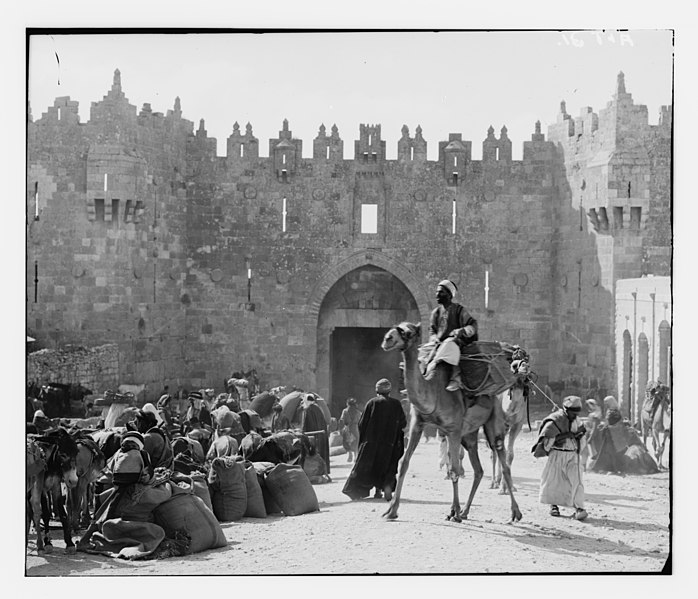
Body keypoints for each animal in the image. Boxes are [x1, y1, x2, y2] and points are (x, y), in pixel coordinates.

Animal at [378, 322, 520, 524]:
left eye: (409, 332)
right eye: (397, 328)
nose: (387, 339)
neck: (434, 393)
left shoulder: (453, 429)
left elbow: (454, 469)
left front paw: (455, 514)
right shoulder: (417, 424)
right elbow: (404, 462)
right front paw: (391, 511)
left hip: (493, 422)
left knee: (501, 456)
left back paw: (515, 513)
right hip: (469, 435)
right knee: (478, 470)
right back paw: (466, 511)